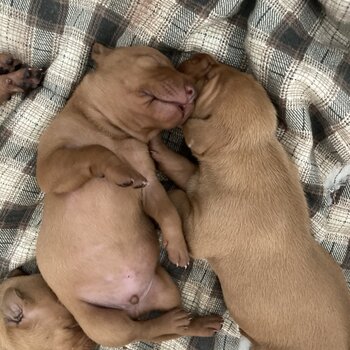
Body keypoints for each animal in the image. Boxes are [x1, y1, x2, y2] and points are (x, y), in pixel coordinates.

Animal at [35, 44, 221, 348]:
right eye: (151, 60)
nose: (192, 91)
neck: (113, 133)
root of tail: (132, 305)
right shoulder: (53, 166)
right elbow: (93, 151)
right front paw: (119, 169)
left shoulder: (150, 187)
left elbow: (168, 212)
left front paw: (177, 245)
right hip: (103, 324)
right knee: (140, 331)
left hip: (165, 290)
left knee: (157, 329)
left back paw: (195, 323)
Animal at [150, 53, 350, 348]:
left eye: (208, 76)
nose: (199, 55)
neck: (252, 150)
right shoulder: (197, 179)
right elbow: (178, 166)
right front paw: (156, 146)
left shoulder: (199, 233)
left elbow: (176, 194)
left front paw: (175, 245)